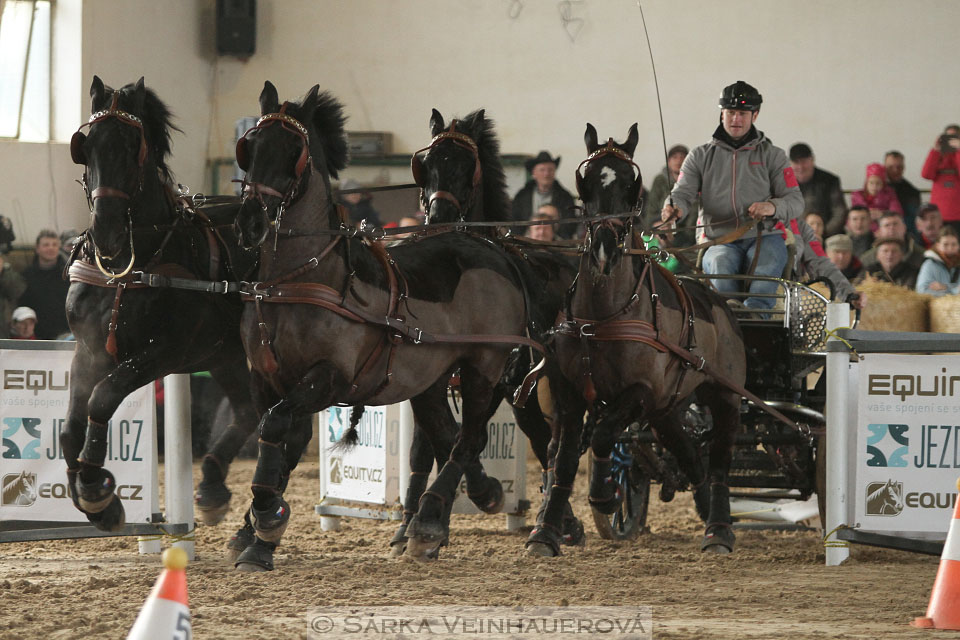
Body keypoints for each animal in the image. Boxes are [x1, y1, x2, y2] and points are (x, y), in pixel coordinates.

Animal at [63, 77, 258, 532]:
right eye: (86, 145)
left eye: (134, 146)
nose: (106, 230)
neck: (129, 266)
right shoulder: (89, 349)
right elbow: (70, 428)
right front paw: (94, 502)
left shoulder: (164, 352)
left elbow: (102, 398)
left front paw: (97, 491)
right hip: (226, 354)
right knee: (247, 412)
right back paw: (212, 487)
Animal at [228, 81, 536, 568]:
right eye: (251, 146)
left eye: (294, 150)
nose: (249, 221)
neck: (296, 282)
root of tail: (493, 249)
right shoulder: (265, 376)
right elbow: (277, 440)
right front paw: (257, 533)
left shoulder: (330, 378)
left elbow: (276, 428)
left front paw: (266, 519)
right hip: (430, 380)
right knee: (447, 436)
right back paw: (463, 502)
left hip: (483, 366)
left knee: (469, 437)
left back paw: (430, 521)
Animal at [528, 125, 748, 556]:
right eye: (585, 179)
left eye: (633, 184)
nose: (604, 249)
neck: (601, 319)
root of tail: (720, 302)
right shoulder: (568, 395)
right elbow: (562, 460)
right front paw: (545, 532)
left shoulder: (640, 393)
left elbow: (601, 435)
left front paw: (604, 495)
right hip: (667, 408)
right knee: (690, 454)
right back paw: (703, 507)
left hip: (724, 396)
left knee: (719, 459)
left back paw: (719, 528)